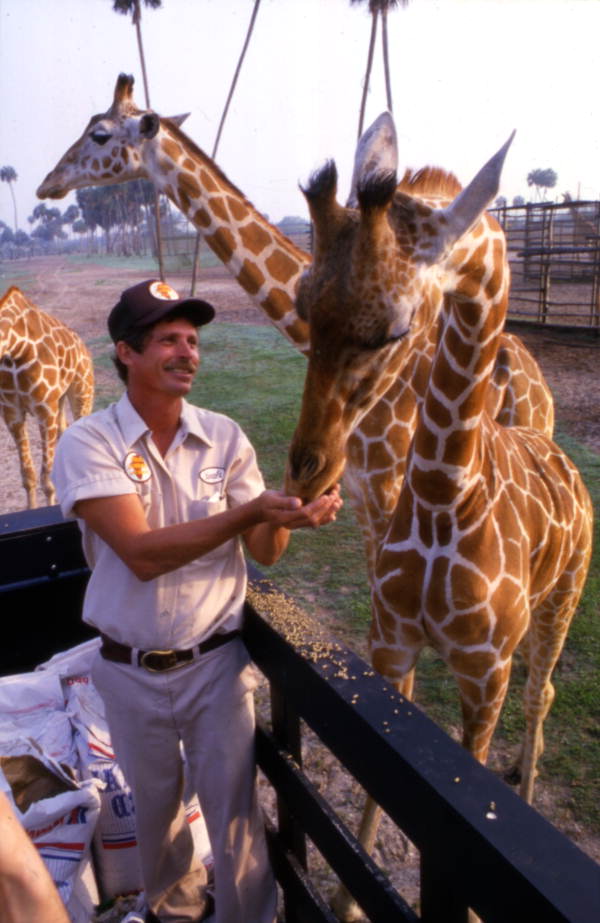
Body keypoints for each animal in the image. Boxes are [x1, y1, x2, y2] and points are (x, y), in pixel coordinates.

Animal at [0, 286, 94, 508]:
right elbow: (28, 476)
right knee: (64, 430)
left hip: (82, 392)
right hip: (59, 400)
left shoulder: (44, 410)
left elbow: (47, 482)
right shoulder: (12, 413)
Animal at [284, 124, 592, 923]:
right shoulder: (390, 644)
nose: (307, 472)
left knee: (543, 691)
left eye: (392, 328)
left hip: (561, 602)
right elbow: (384, 772)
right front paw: (349, 893)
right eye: (301, 302)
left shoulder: (485, 674)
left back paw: (525, 785)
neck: (441, 498)